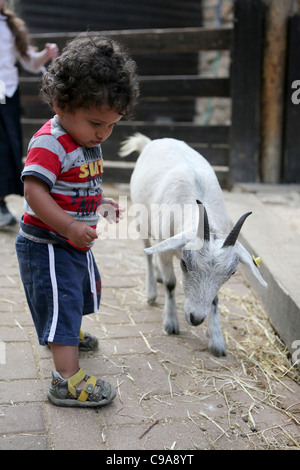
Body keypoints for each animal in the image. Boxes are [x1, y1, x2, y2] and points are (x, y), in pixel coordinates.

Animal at [119, 132, 268, 356]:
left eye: (232, 272)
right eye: (184, 264)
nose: (196, 319)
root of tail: (152, 142)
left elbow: (215, 299)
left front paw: (217, 340)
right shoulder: (165, 249)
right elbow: (171, 283)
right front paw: (171, 323)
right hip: (141, 220)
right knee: (147, 253)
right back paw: (152, 291)